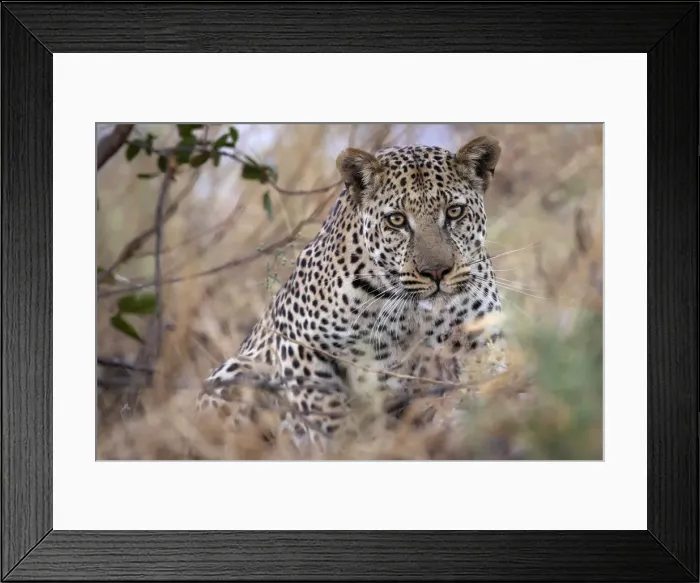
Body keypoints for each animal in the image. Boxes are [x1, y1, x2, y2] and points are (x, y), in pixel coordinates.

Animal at [196, 136, 508, 453]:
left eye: (455, 212)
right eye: (397, 220)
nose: (436, 272)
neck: (414, 313)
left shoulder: (482, 337)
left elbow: (487, 382)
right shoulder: (294, 337)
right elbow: (325, 410)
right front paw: (346, 446)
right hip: (236, 370)